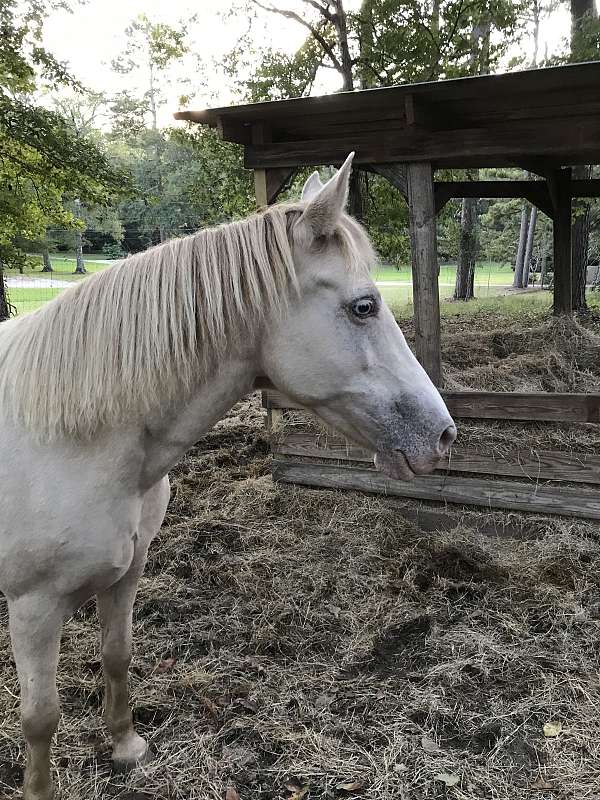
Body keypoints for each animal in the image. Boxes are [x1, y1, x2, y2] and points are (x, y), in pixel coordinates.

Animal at [0, 153, 454, 796]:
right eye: (364, 305)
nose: (443, 435)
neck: (76, 438)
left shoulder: (127, 573)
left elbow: (117, 656)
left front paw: (126, 747)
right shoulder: (34, 606)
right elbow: (40, 717)